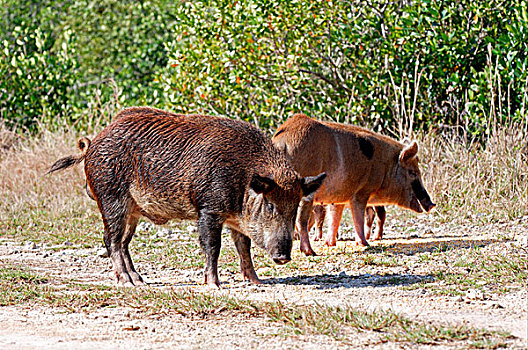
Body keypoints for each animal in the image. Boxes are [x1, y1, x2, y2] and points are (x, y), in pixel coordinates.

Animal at [47, 106, 326, 288]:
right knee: (111, 240)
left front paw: (256, 281)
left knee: (124, 243)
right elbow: (213, 246)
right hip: (111, 198)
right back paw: (127, 282)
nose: (283, 256)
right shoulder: (209, 208)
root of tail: (92, 143)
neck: (243, 179)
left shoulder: (236, 219)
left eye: (294, 207)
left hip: (133, 211)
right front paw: (214, 285)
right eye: (269, 205)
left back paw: (140, 280)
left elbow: (243, 247)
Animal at [272, 113, 434, 256]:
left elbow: (335, 217)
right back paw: (310, 252)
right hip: (305, 189)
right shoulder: (361, 191)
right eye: (413, 173)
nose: (432, 204)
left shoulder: (338, 196)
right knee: (301, 220)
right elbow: (358, 216)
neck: (385, 166)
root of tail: (282, 142)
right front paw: (364, 244)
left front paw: (329, 244)